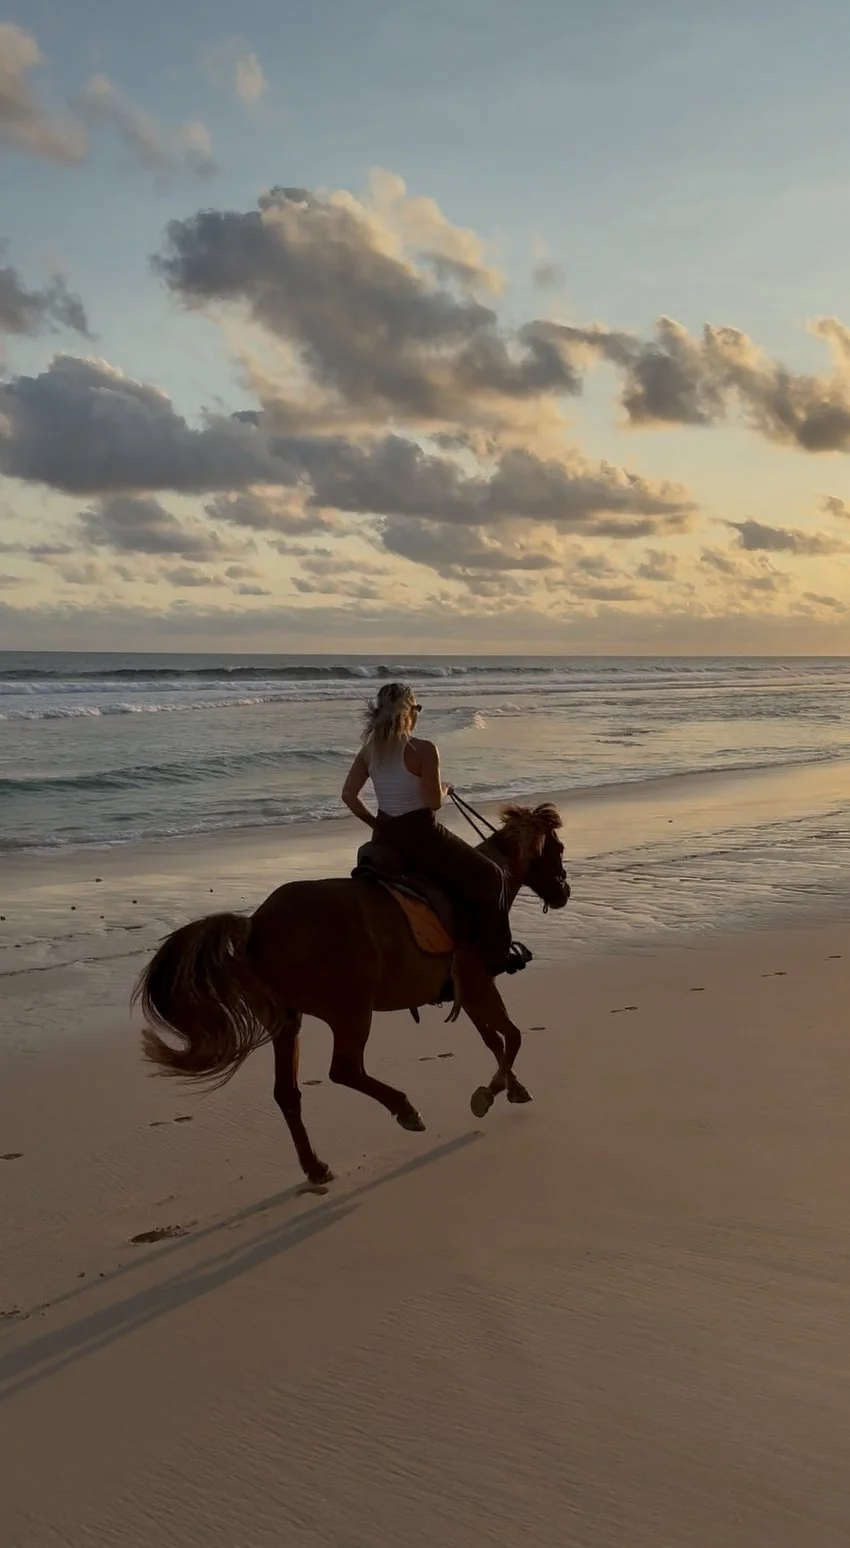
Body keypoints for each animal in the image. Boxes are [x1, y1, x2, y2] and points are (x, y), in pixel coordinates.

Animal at [134, 802, 569, 1187]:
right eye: (560, 849)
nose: (564, 891)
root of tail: (257, 924)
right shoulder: (479, 985)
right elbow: (511, 1037)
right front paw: (490, 1092)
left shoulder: (470, 991)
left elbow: (495, 1041)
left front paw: (512, 1087)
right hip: (352, 1012)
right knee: (344, 1070)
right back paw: (404, 1109)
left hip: (287, 1021)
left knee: (287, 1093)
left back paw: (315, 1167)